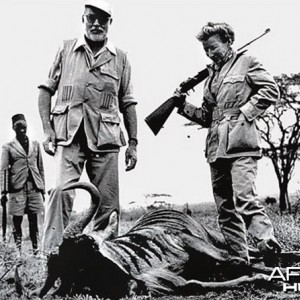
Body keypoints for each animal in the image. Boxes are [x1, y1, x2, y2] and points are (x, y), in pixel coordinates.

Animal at [15, 182, 288, 298]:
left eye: (92, 248)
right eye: (74, 269)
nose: (126, 284)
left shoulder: (190, 242)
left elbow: (237, 262)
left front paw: (273, 275)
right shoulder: (161, 281)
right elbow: (193, 284)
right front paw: (264, 278)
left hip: (214, 240)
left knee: (243, 254)